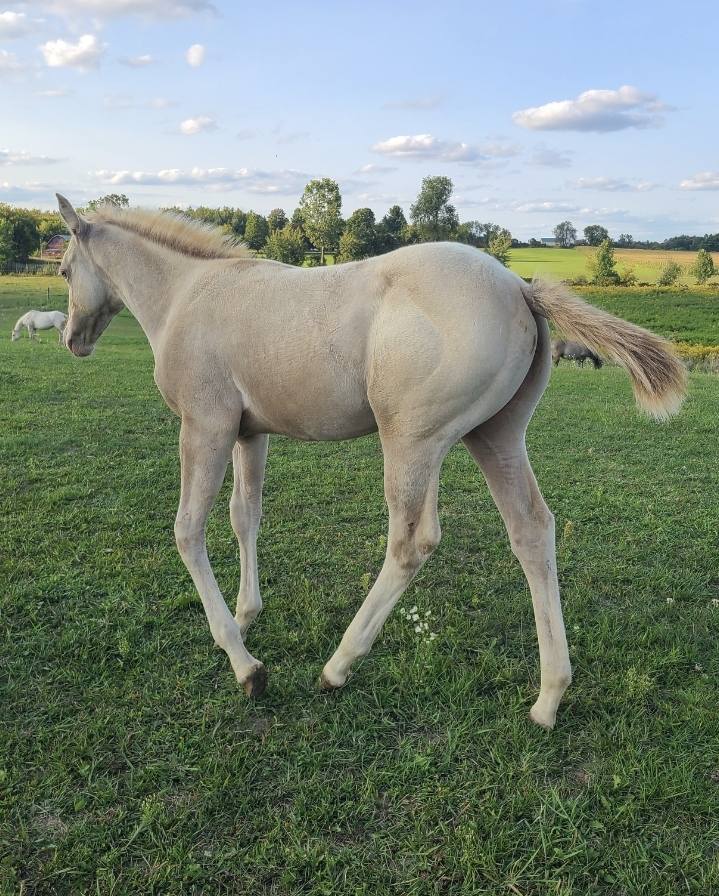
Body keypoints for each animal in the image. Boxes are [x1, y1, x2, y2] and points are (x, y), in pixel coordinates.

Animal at [55, 194, 686, 729]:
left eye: (63, 271)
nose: (71, 341)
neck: (188, 293)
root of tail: (518, 286)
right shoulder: (247, 434)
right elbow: (245, 516)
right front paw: (246, 613)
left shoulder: (204, 426)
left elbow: (188, 531)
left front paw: (244, 663)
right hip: (496, 436)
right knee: (532, 530)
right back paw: (548, 699)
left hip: (411, 440)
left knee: (412, 542)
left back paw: (338, 666)